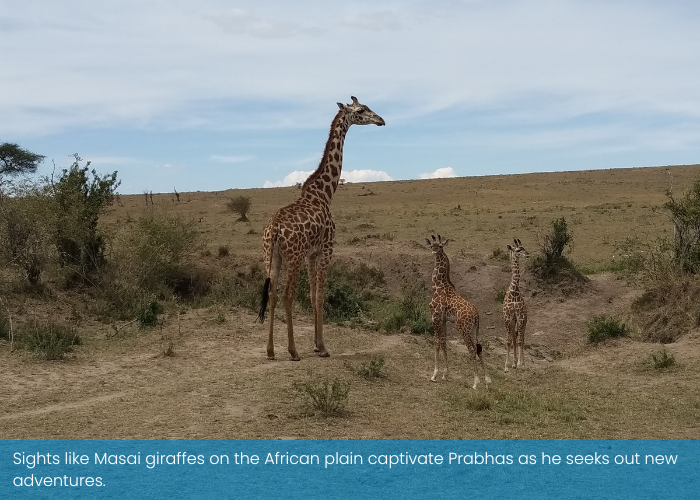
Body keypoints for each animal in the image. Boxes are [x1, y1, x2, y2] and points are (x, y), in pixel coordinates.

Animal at [258, 97, 385, 361]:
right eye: (361, 110)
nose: (381, 120)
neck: (325, 194)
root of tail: (274, 229)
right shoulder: (326, 250)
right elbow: (319, 296)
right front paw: (322, 347)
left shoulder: (311, 254)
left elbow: (312, 294)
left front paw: (316, 345)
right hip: (292, 257)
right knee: (287, 295)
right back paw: (293, 351)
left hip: (271, 257)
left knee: (272, 294)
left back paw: (271, 350)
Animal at [426, 235, 490, 389]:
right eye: (432, 245)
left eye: (440, 246)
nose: (433, 250)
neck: (438, 284)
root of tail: (476, 315)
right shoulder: (443, 320)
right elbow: (444, 342)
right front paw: (445, 374)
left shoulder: (435, 317)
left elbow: (436, 342)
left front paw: (434, 375)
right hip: (473, 330)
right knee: (479, 349)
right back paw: (486, 382)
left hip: (462, 328)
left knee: (472, 350)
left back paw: (475, 383)